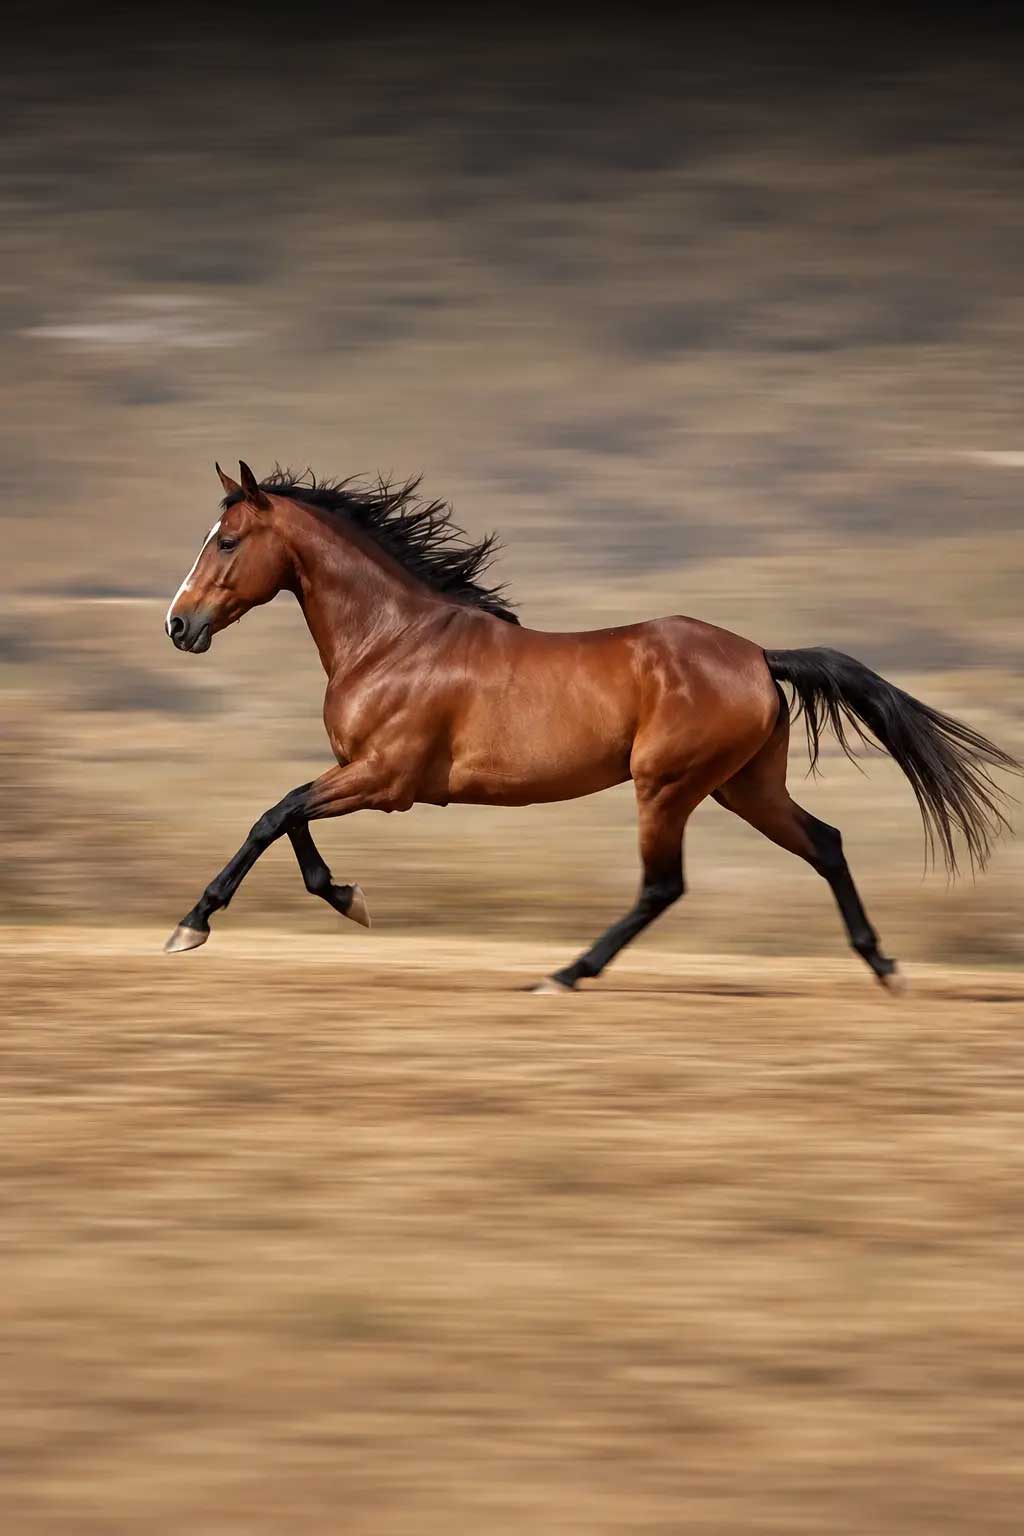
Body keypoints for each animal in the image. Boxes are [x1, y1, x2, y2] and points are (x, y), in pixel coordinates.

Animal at [163, 460, 1018, 991]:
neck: (394, 638)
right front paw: (345, 897)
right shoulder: (363, 776)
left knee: (663, 886)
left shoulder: (385, 779)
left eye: (228, 541)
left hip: (666, 786)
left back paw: (565, 974)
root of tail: (756, 656)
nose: (178, 625)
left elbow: (274, 814)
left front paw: (194, 924)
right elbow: (289, 819)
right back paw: (884, 968)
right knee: (827, 844)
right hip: (745, 788)